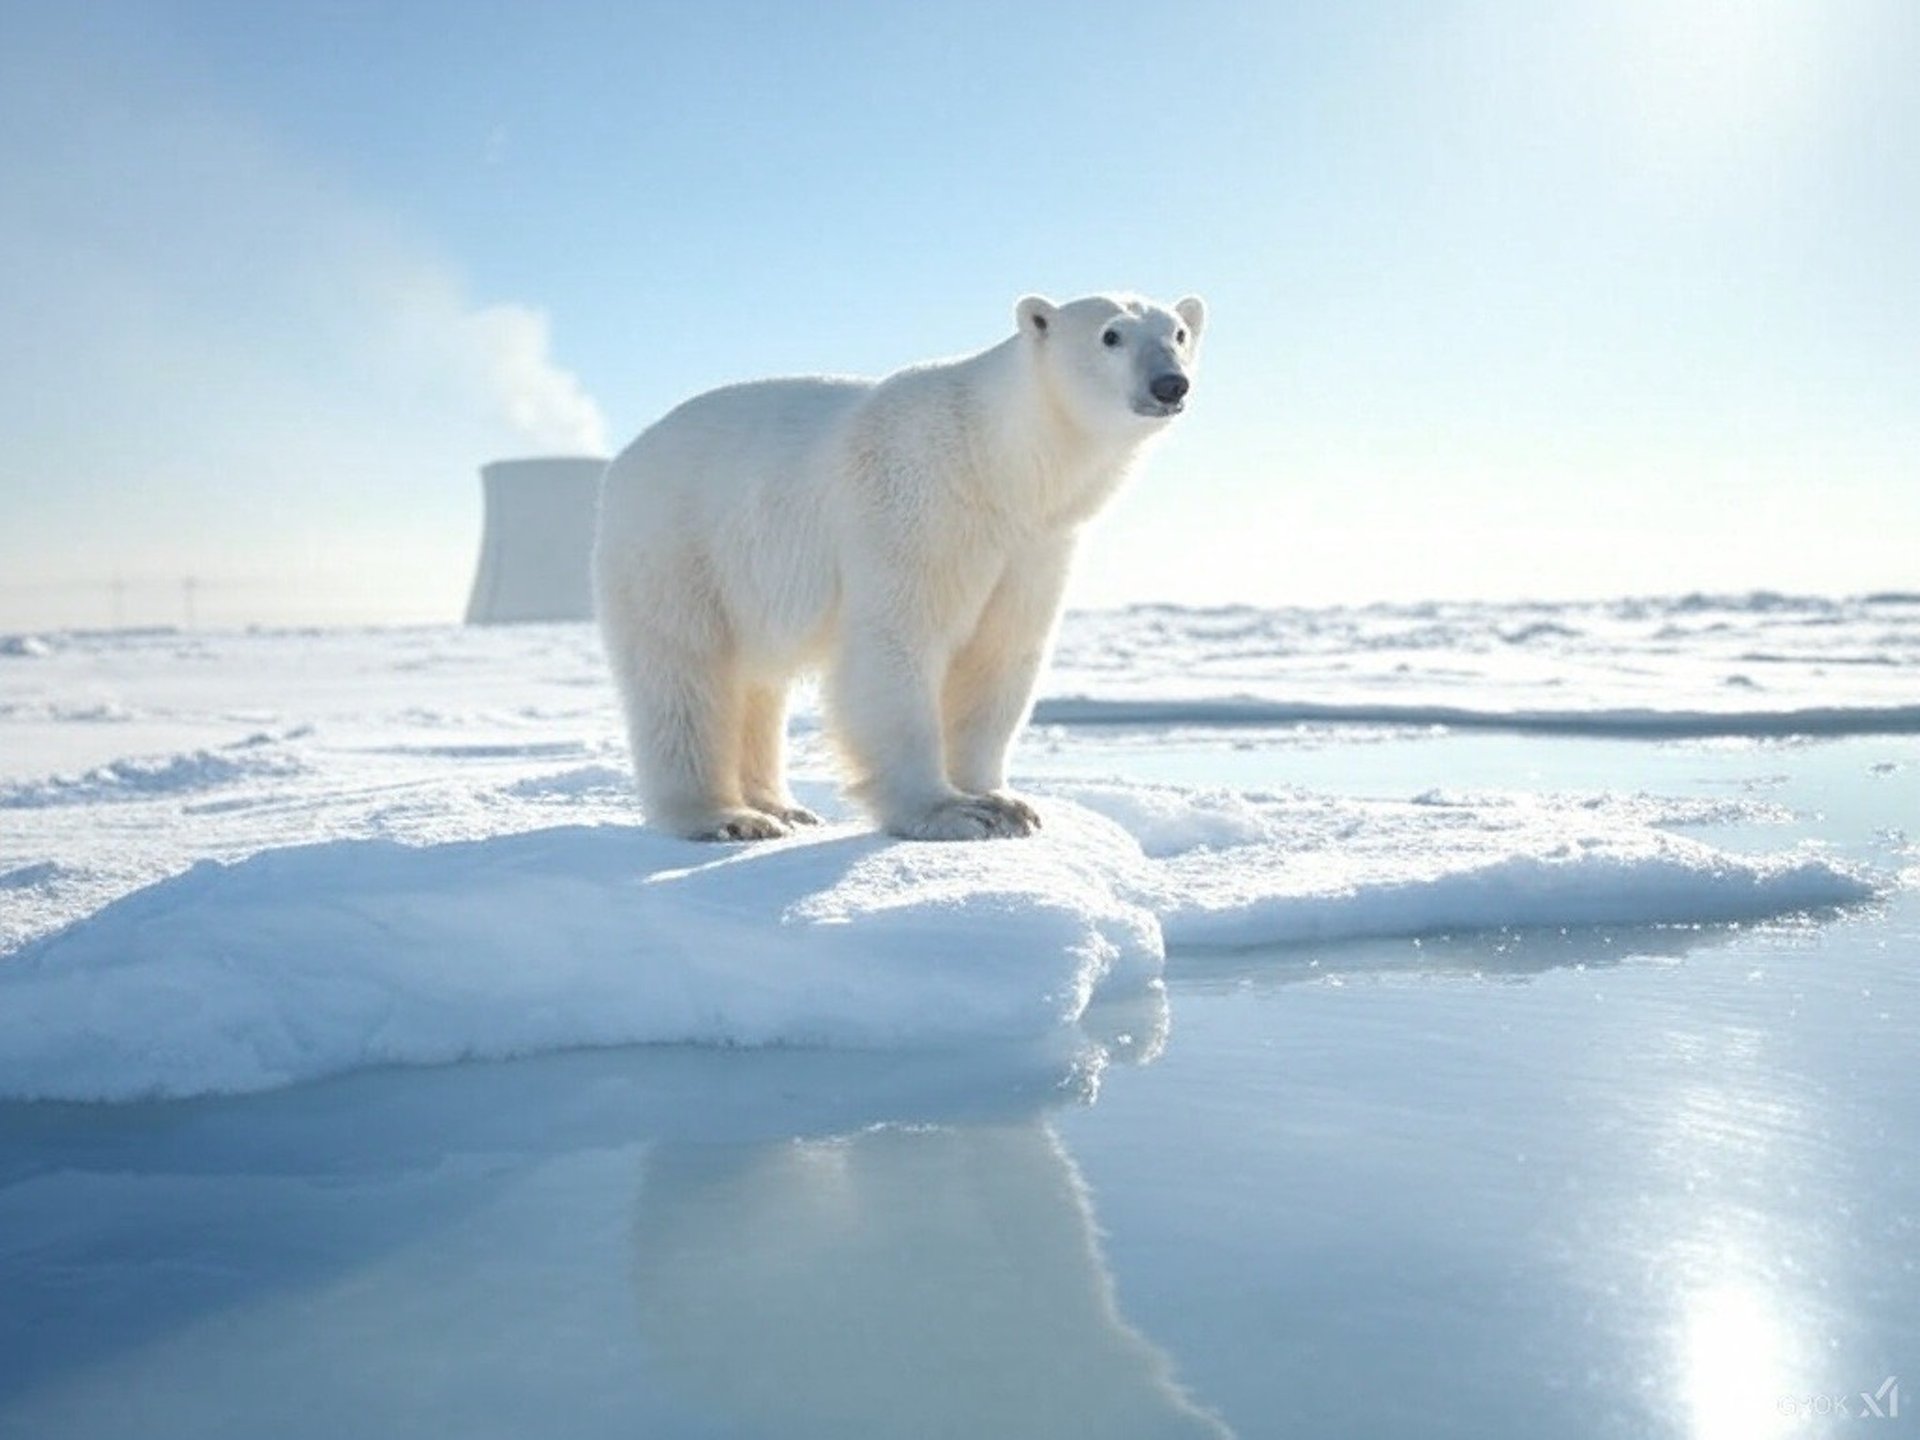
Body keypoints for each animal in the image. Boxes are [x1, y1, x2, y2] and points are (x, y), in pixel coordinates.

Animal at [591, 293, 1205, 840]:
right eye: (1111, 335)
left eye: (1178, 332)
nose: (1170, 384)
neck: (997, 464)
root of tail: (625, 460)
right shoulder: (914, 507)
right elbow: (898, 644)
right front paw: (951, 813)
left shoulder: (1035, 545)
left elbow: (1002, 653)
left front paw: (1003, 802)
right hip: (678, 546)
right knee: (685, 673)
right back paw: (726, 818)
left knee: (757, 683)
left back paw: (783, 807)